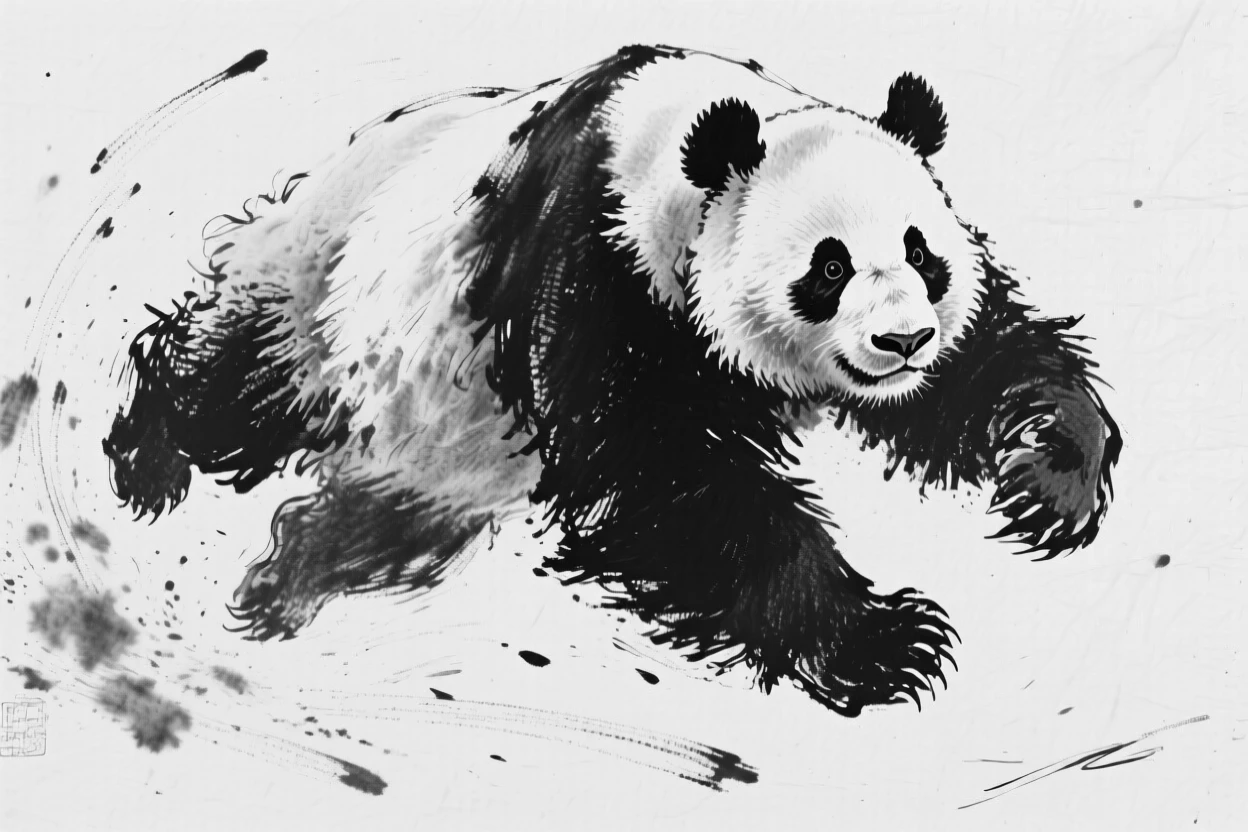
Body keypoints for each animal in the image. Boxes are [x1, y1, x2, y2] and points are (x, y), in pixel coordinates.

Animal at [104, 44, 1121, 717]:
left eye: (921, 253)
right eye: (827, 267)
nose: (902, 339)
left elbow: (980, 369)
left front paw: (1046, 477)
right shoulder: (597, 276)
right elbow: (658, 479)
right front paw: (882, 643)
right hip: (336, 301)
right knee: (229, 391)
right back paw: (148, 457)